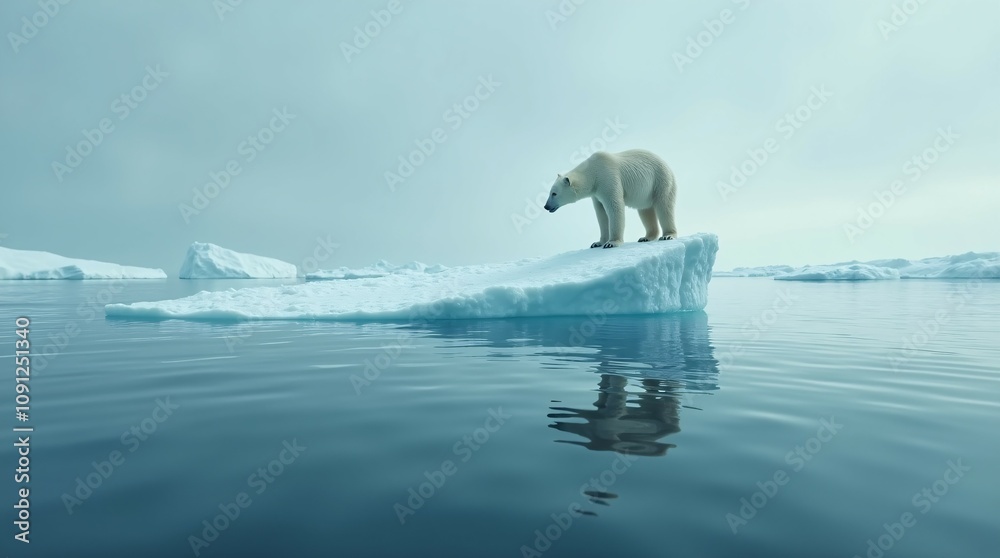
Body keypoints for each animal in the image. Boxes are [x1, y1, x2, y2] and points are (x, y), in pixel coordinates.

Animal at [543, 149, 677, 248]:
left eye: (554, 193)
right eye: (550, 192)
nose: (546, 206)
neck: (593, 172)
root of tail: (667, 165)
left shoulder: (608, 179)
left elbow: (614, 207)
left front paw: (611, 243)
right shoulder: (596, 193)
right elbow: (601, 213)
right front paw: (597, 243)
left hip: (660, 181)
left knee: (664, 206)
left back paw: (668, 235)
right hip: (645, 192)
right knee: (645, 210)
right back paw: (646, 237)